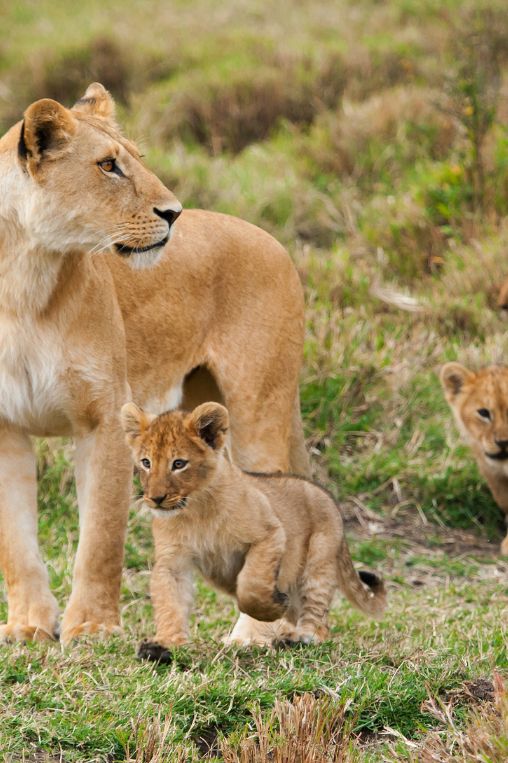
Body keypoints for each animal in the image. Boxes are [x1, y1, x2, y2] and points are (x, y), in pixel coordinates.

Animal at [0, 83, 308, 645]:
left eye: (136, 160)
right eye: (107, 166)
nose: (174, 213)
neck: (23, 278)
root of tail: (271, 238)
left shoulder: (104, 417)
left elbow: (101, 537)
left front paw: (93, 628)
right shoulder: (5, 425)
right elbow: (15, 542)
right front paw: (28, 627)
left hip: (260, 407)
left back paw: (252, 635)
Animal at [120, 401, 386, 656]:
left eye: (178, 464)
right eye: (146, 462)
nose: (156, 498)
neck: (196, 511)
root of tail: (326, 495)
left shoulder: (269, 534)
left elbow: (251, 586)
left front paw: (272, 609)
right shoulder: (173, 560)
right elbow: (170, 602)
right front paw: (164, 645)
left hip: (317, 564)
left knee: (318, 618)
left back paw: (297, 638)